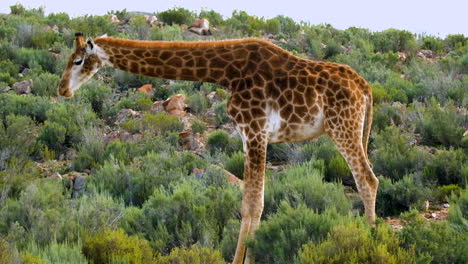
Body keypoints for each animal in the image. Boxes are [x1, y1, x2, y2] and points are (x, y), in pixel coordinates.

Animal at [59, 33, 380, 264]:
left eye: (78, 61)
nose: (62, 90)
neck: (227, 72)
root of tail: (365, 87)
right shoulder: (248, 135)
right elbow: (250, 203)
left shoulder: (255, 129)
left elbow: (254, 204)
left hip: (343, 126)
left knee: (367, 179)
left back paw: (370, 242)